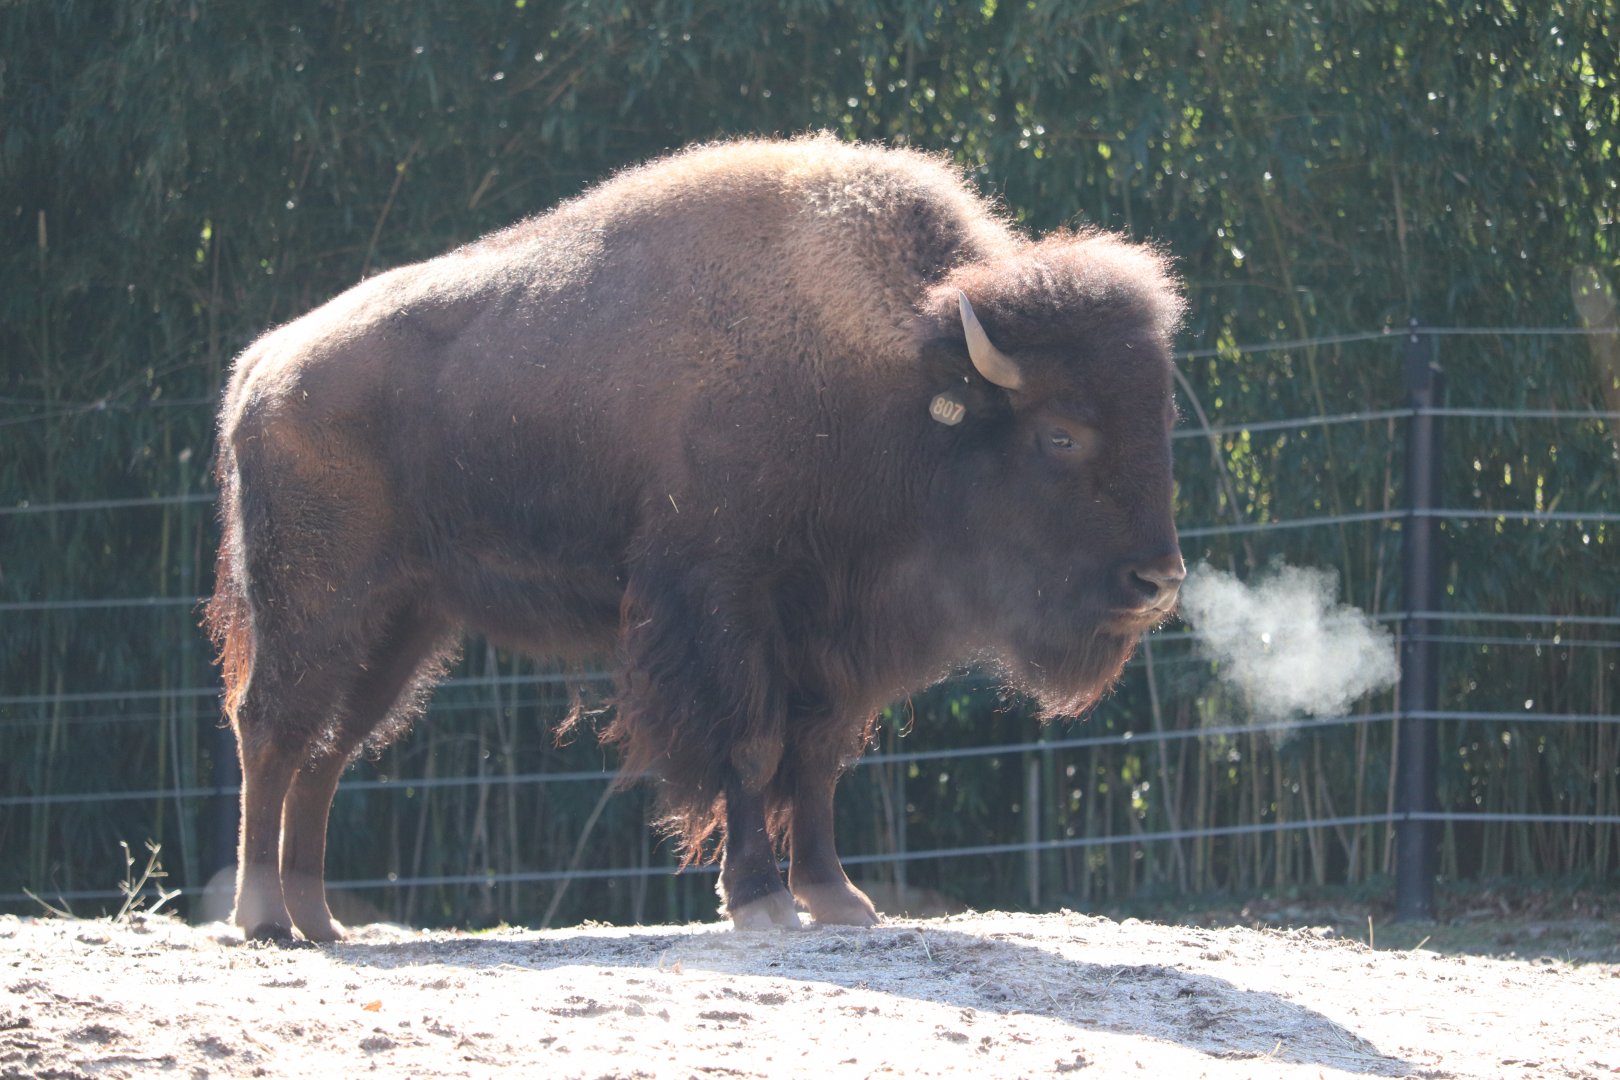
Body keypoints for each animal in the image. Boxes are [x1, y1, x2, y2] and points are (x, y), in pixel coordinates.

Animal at [206, 136, 1186, 940]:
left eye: (1162, 419)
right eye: (1060, 434)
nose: (1159, 583)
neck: (903, 380)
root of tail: (260, 368)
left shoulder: (830, 638)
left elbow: (815, 760)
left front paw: (838, 900)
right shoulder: (725, 603)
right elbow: (751, 747)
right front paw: (758, 901)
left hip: (403, 625)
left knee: (328, 748)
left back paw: (321, 922)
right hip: (316, 604)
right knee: (269, 726)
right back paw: (262, 918)